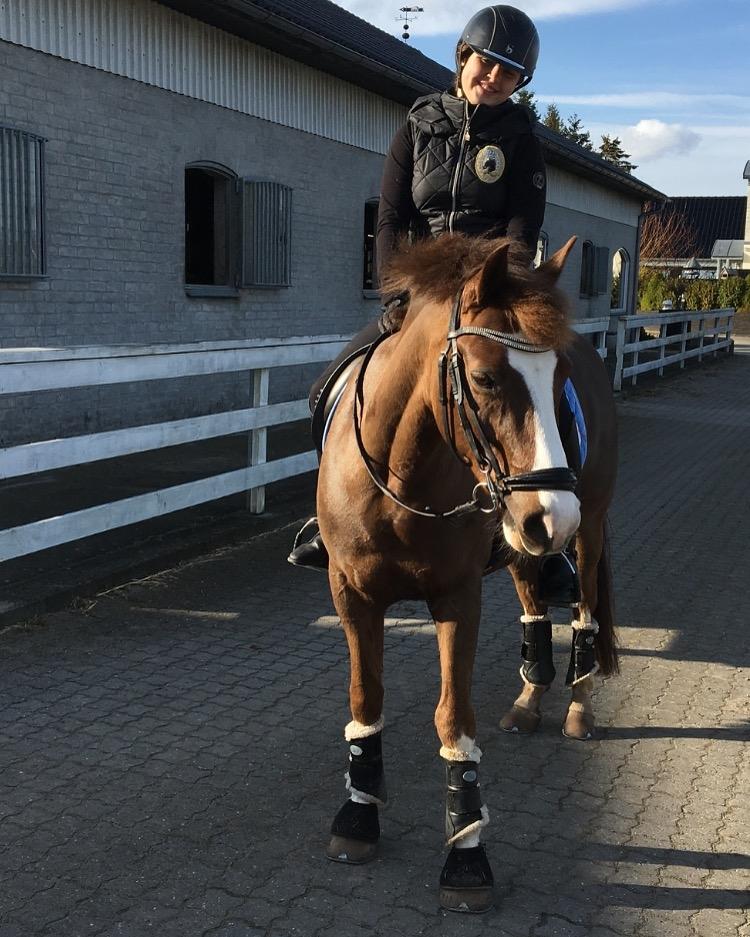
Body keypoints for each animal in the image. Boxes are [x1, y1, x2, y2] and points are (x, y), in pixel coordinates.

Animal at [315, 234, 618, 913]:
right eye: (483, 378)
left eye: (559, 380)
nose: (553, 513)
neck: (401, 482)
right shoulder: (352, 596)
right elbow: (365, 697)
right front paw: (358, 815)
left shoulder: (456, 598)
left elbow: (453, 718)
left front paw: (467, 851)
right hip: (522, 540)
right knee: (535, 608)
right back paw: (530, 701)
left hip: (584, 531)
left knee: (584, 611)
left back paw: (578, 706)